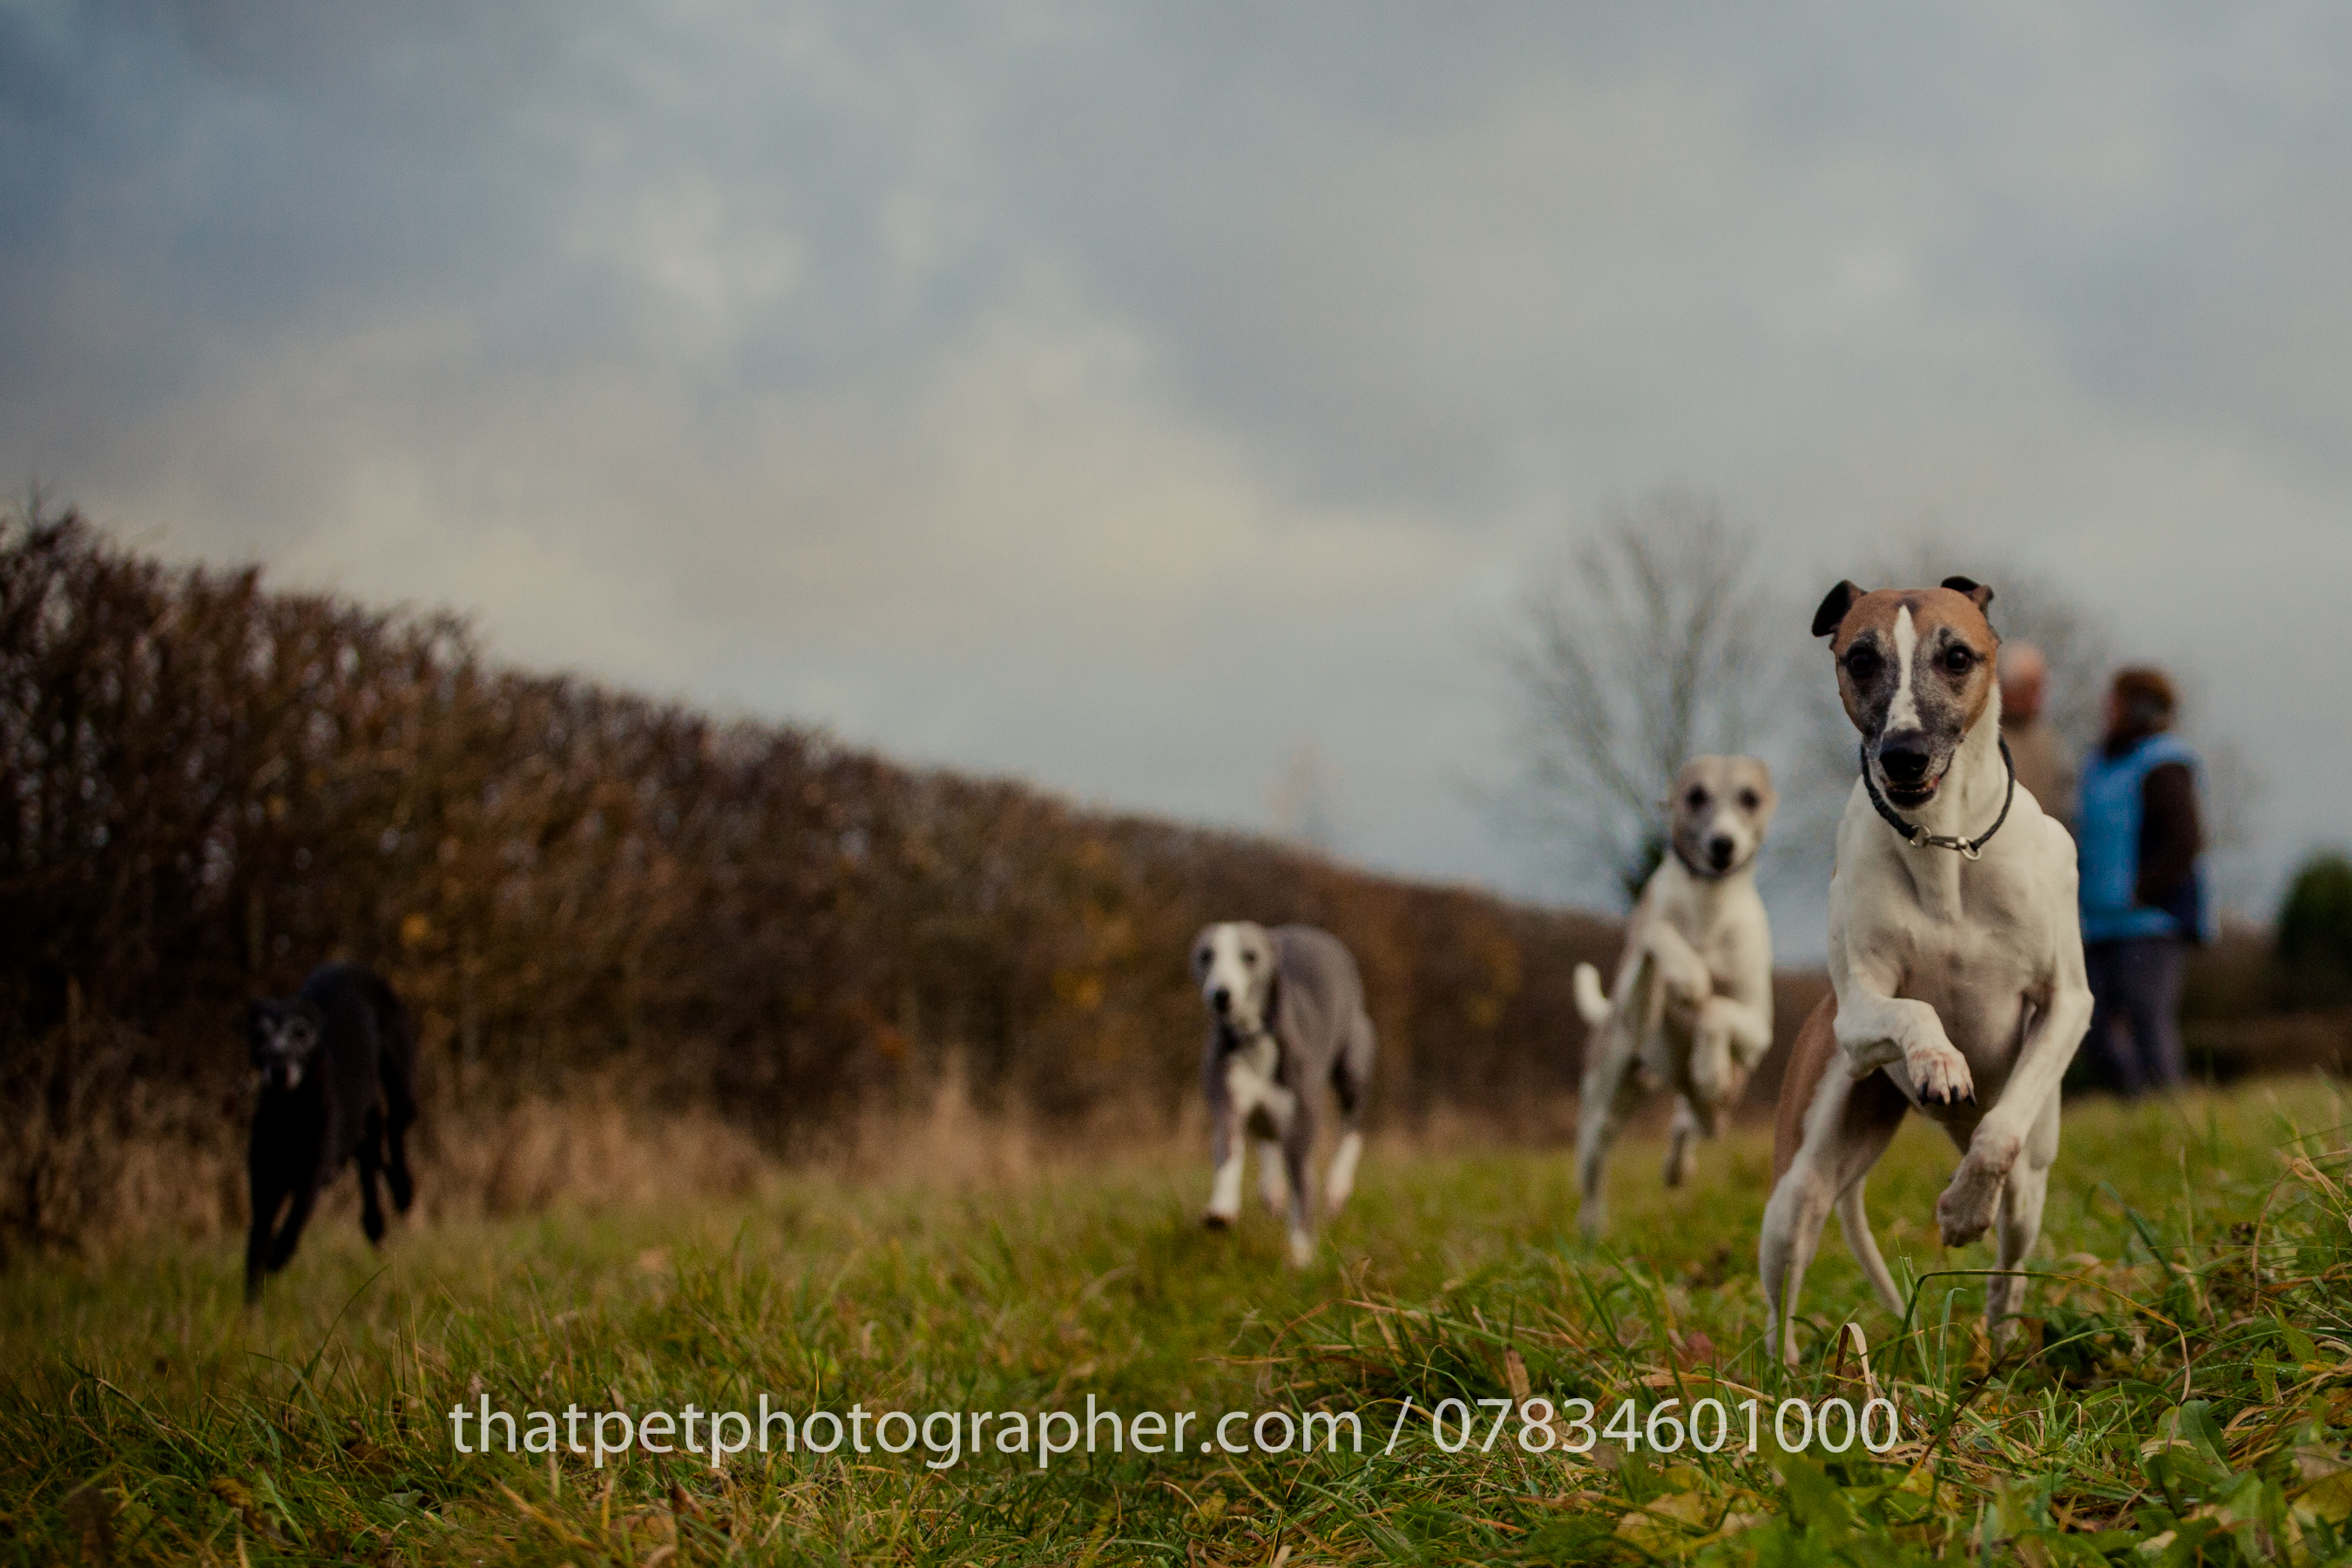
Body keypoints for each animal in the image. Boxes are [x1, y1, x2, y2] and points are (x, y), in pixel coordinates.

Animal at [244, 962, 419, 1302]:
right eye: (260, 1035)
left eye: (300, 1032)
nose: (279, 1068)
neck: (291, 1112)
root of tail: (348, 965)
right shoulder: (264, 1182)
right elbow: (256, 1241)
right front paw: (252, 1306)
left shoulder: (315, 1168)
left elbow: (296, 1216)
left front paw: (278, 1255)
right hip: (362, 1122)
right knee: (370, 1154)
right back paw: (376, 1220)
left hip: (400, 1083)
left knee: (394, 1128)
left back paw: (403, 1190)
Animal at [1191, 922, 1376, 1266]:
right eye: (1206, 955)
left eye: (1249, 956)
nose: (1221, 995)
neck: (1254, 1037)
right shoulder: (1228, 1101)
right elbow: (1229, 1148)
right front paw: (1222, 1208)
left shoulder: (1300, 1124)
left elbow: (1301, 1185)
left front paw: (1301, 1254)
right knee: (1267, 1138)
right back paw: (1272, 1188)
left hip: (1353, 1063)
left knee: (1352, 1125)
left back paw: (1337, 1186)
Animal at [1570, 756, 1778, 1232]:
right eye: (1695, 795)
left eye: (1750, 798)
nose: (1723, 844)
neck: (1710, 904)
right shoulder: (1636, 1006)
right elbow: (1657, 931)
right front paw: (1687, 975)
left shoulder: (1758, 1032)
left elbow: (1717, 1008)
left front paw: (1707, 1063)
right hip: (1604, 1105)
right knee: (1594, 1168)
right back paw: (1590, 1229)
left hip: (1722, 1107)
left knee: (1690, 1120)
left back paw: (1679, 1160)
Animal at [1759, 577, 2091, 1363]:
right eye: (1859, 658)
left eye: (1958, 656)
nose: (1904, 755)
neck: (1946, 843)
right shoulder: (1857, 1013)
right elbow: (1914, 1009)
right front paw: (1939, 1059)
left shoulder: (2065, 1004)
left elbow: (1999, 1137)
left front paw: (1962, 1211)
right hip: (1803, 1178)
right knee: (1785, 1281)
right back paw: (1782, 1375)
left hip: (2031, 1184)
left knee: (2010, 1257)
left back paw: (1999, 1344)